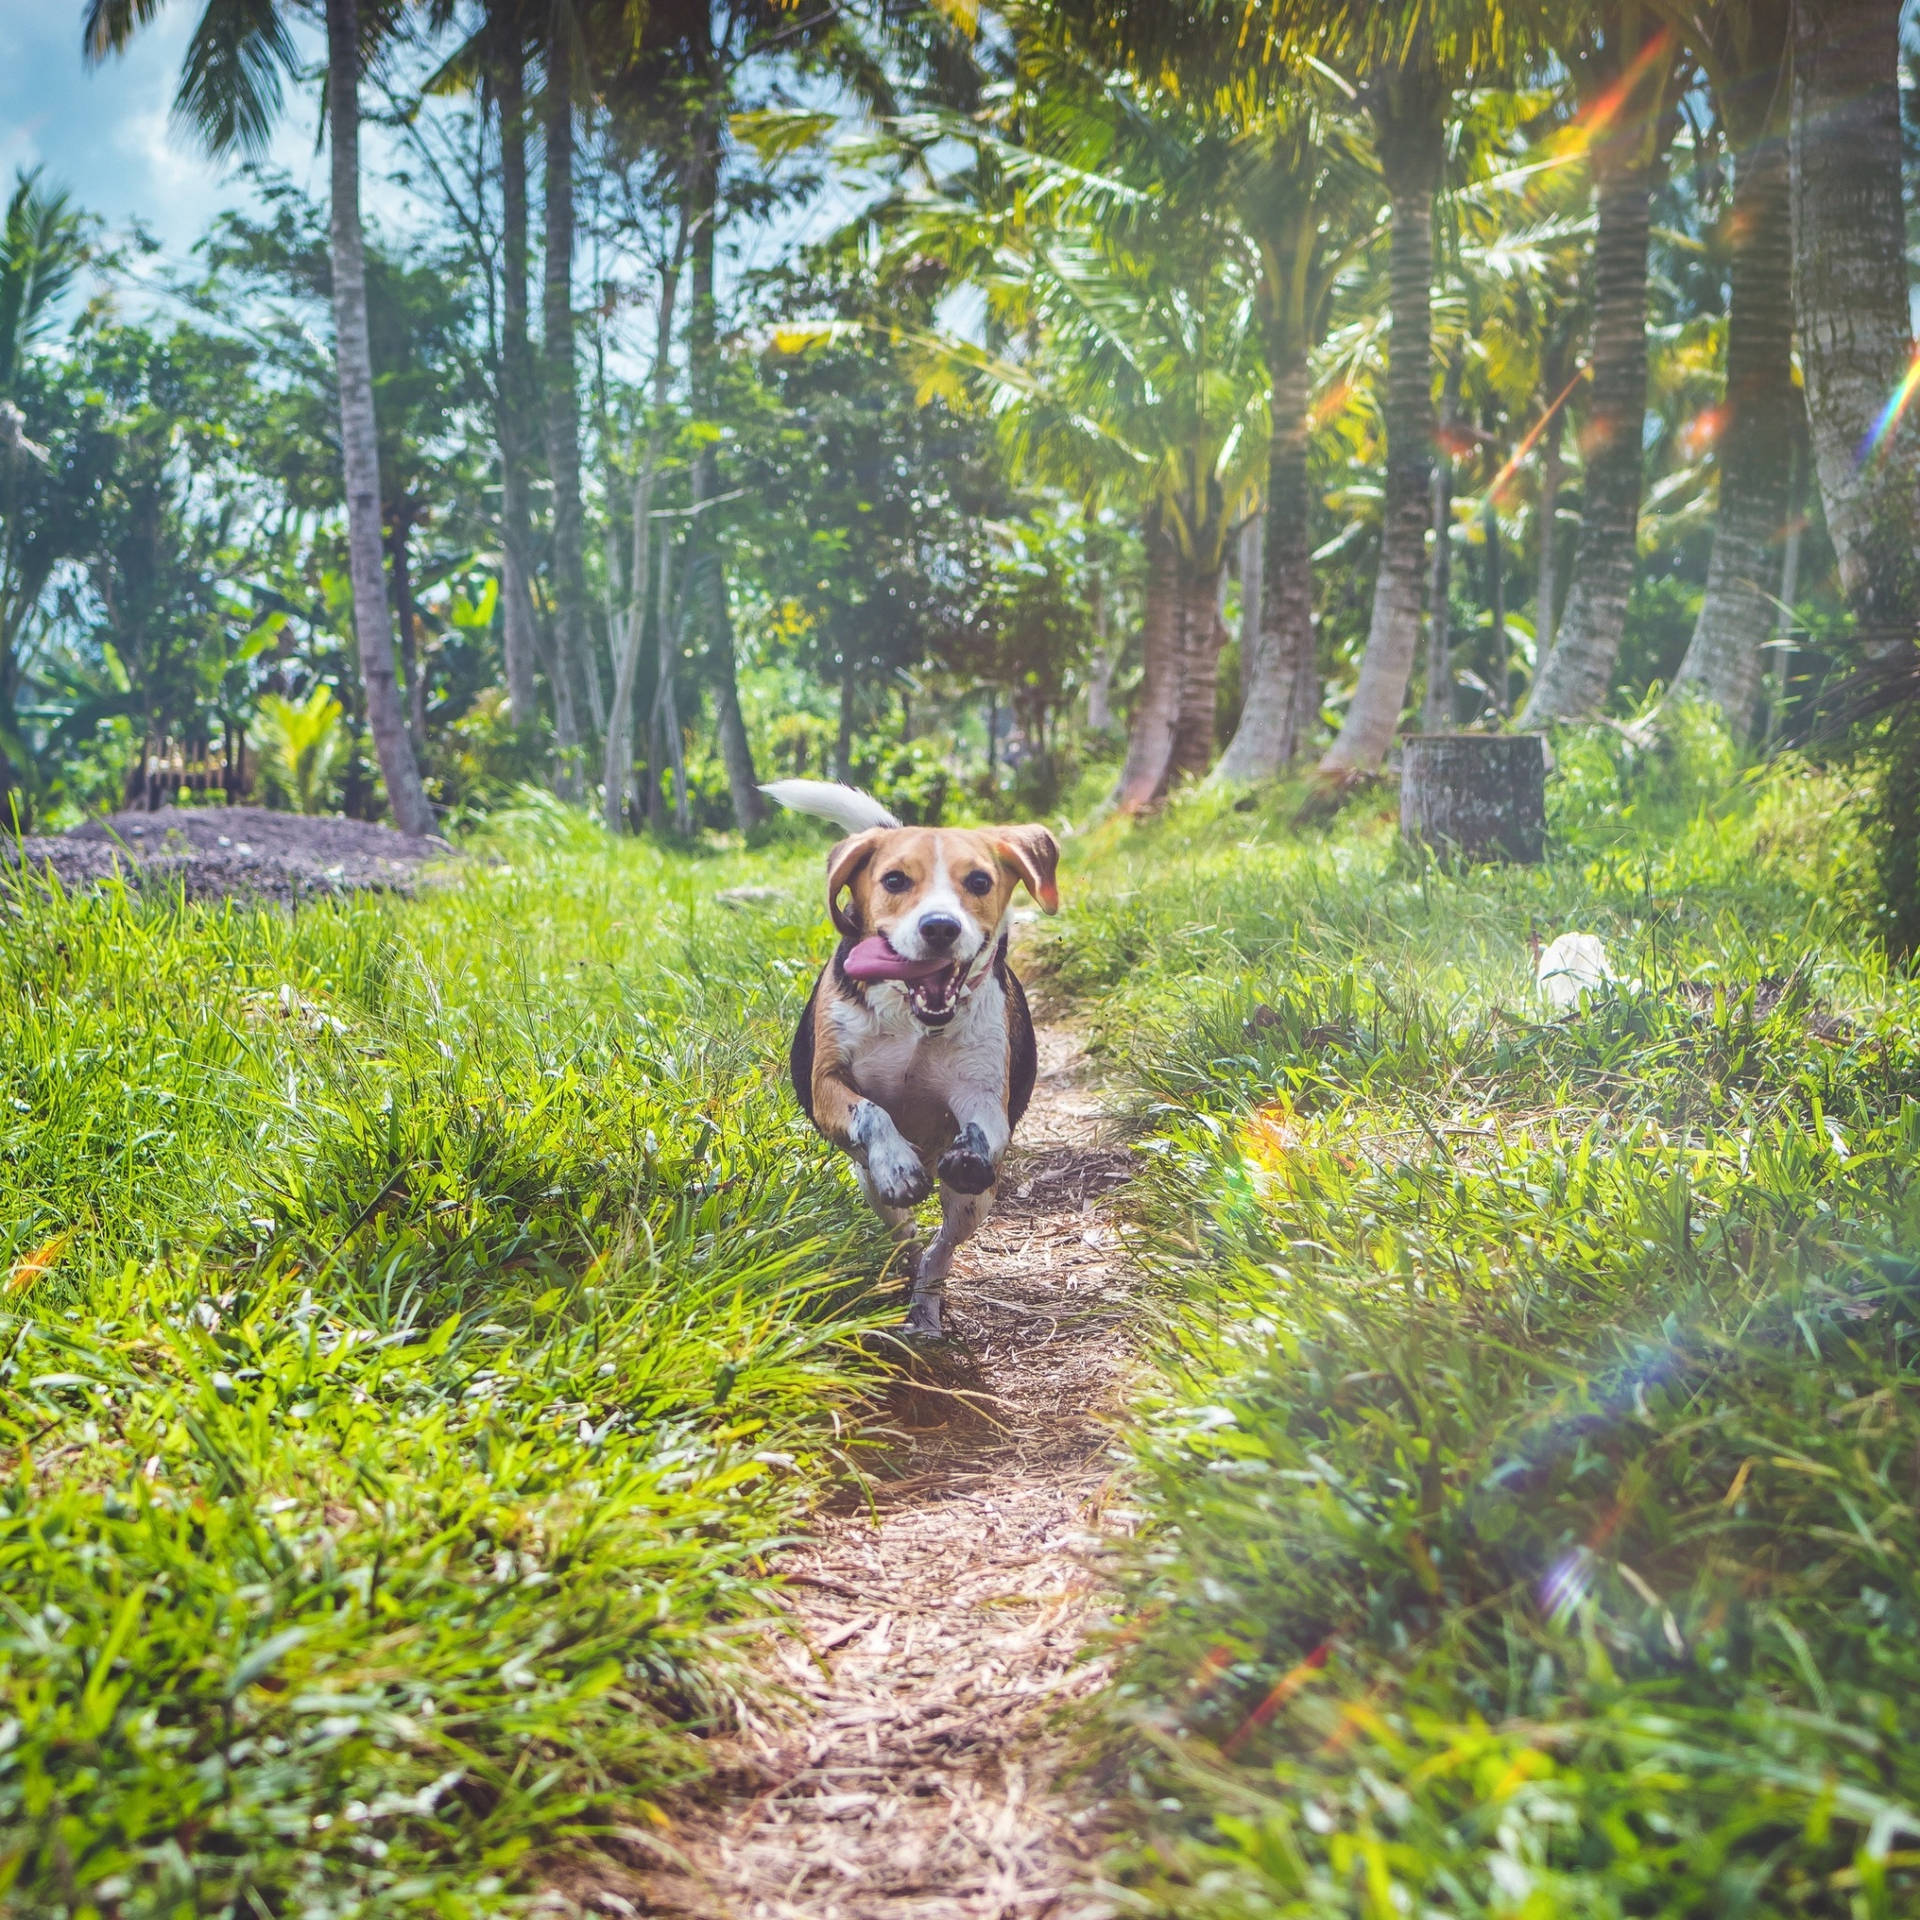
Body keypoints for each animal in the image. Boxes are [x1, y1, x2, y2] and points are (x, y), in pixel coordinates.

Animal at [764, 779, 1067, 1336]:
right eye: (894, 879)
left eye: (979, 880)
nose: (941, 927)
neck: (913, 1016)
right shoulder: (827, 1084)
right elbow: (872, 1112)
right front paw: (898, 1162)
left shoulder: (982, 1092)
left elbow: (983, 1128)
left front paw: (968, 1150)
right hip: (869, 1186)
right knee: (904, 1233)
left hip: (974, 1203)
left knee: (940, 1250)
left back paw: (926, 1306)